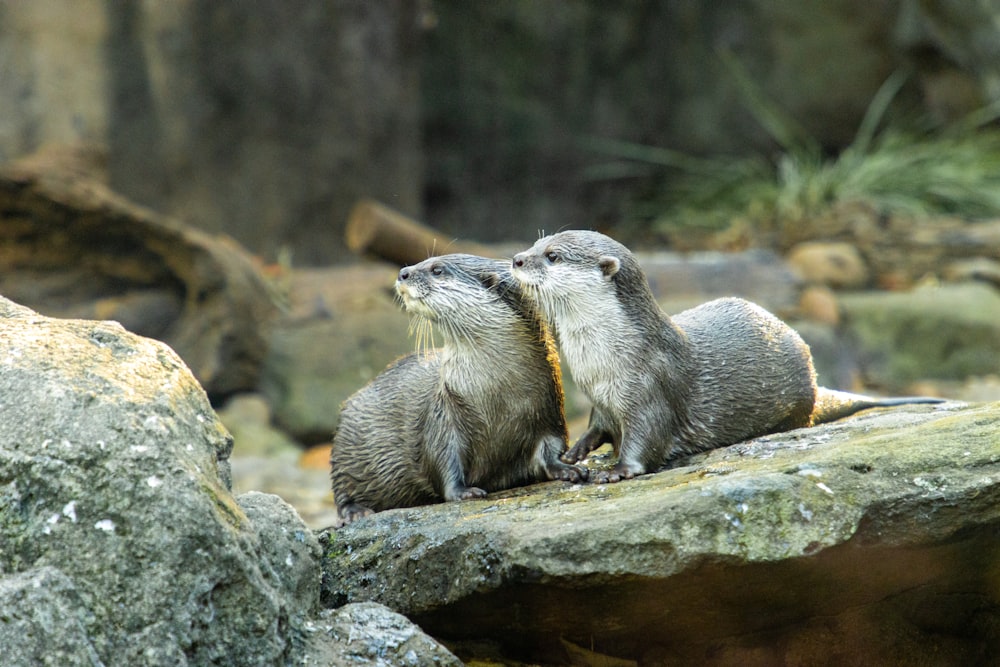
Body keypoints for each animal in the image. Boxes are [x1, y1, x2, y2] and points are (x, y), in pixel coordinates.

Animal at [328, 253, 584, 524]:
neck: (494, 395)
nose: (403, 272)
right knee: (342, 489)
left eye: (437, 270)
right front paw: (463, 492)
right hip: (346, 444)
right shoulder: (443, 412)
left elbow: (552, 447)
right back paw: (356, 512)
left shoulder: (548, 407)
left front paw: (567, 469)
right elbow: (442, 457)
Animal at [512, 232, 940, 482]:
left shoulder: (650, 387)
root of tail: (815, 382)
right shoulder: (601, 400)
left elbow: (645, 440)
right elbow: (598, 427)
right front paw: (575, 453)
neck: (602, 363)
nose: (516, 258)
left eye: (552, 256)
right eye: (536, 244)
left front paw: (617, 470)